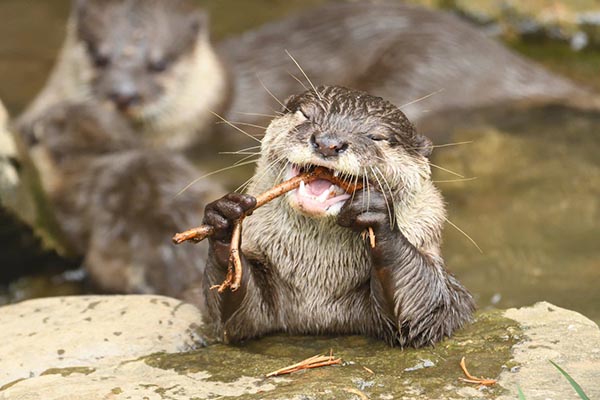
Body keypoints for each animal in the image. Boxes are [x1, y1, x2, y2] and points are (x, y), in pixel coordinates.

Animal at [200, 86, 474, 348]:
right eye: (306, 115)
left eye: (377, 137)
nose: (328, 143)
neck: (315, 287)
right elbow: (237, 319)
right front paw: (224, 220)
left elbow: (430, 309)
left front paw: (377, 214)